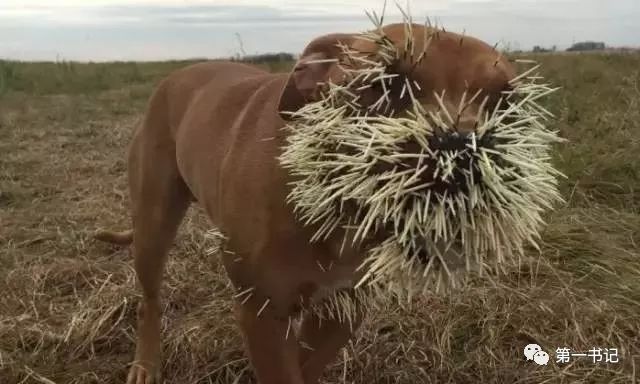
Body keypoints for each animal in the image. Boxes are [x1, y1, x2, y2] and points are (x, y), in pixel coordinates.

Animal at [95, 24, 516, 384]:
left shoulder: (343, 309)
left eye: (505, 102)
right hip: (154, 225)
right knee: (149, 301)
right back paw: (145, 364)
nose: (462, 148)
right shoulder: (262, 312)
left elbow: (304, 365)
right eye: (386, 84)